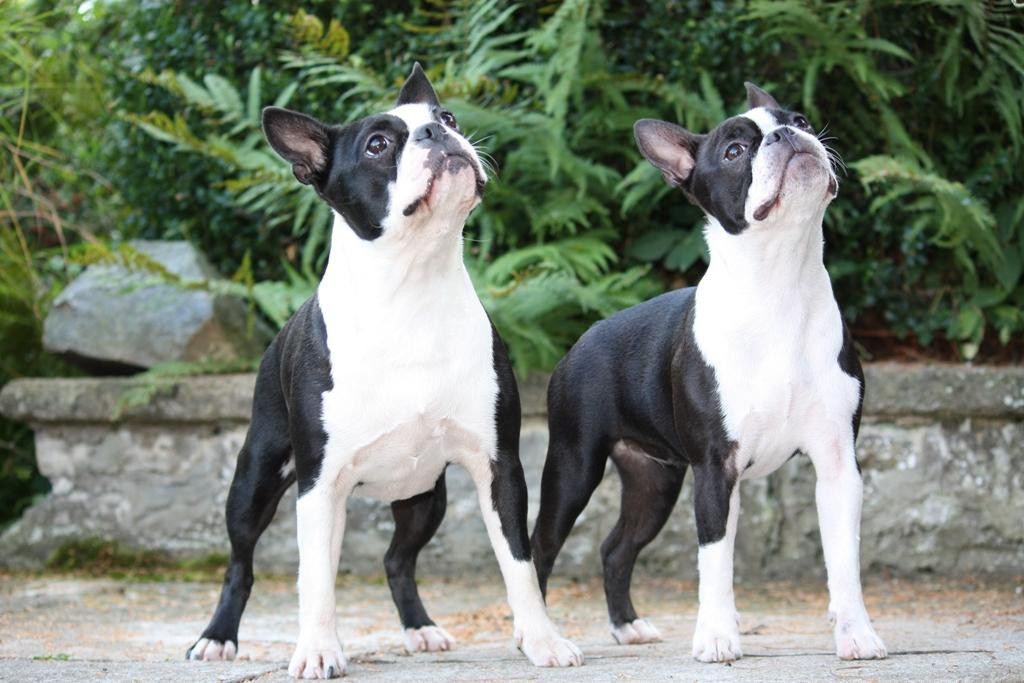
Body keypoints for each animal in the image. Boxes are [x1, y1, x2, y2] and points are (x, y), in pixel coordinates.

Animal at [186, 64, 582, 678]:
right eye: (377, 145)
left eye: (449, 117)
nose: (438, 133)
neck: (413, 286)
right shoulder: (319, 484)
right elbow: (315, 578)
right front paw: (318, 650)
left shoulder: (499, 467)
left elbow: (519, 561)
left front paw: (542, 640)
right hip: (255, 478)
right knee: (241, 562)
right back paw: (217, 636)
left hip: (425, 498)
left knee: (398, 559)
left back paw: (420, 628)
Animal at [529, 83, 887, 662]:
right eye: (734, 151)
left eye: (800, 119)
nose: (786, 135)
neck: (781, 284)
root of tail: (582, 339)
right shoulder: (717, 468)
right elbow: (715, 559)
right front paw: (718, 636)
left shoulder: (837, 464)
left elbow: (844, 561)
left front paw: (856, 633)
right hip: (573, 464)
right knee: (540, 547)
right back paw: (540, 638)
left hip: (654, 481)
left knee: (616, 547)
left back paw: (627, 626)